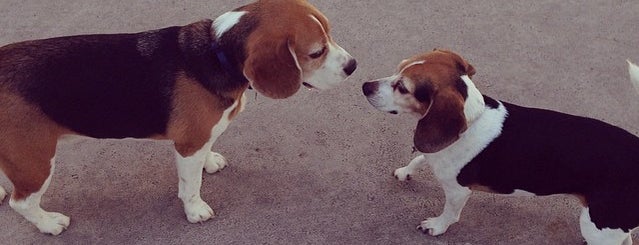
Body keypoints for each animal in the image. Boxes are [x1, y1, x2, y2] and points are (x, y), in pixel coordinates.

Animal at [0, 0, 356, 234]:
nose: (353, 66)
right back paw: (49, 223)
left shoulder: (202, 137)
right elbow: (191, 184)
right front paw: (195, 211)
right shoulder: (188, 144)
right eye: (316, 52)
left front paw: (210, 162)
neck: (215, 52)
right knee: (22, 203)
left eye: (331, 34)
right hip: (35, 161)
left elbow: (205, 156)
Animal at [364, 48, 639, 244]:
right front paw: (405, 171)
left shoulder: (458, 191)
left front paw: (436, 227)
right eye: (398, 68)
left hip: (599, 226)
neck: (472, 119)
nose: (365, 86)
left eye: (402, 87)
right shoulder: (435, 152)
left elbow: (450, 214)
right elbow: (419, 157)